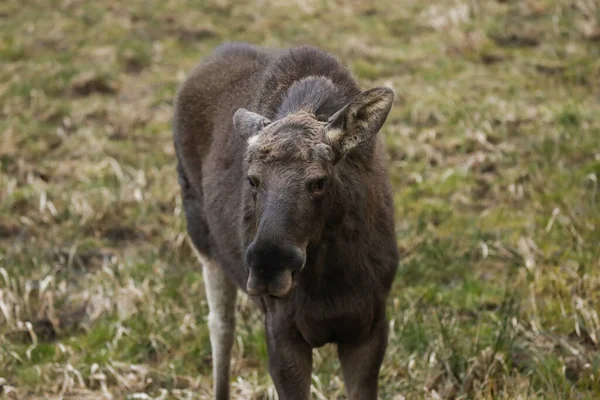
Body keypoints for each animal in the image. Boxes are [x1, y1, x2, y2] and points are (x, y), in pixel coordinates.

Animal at [172, 42, 398, 398]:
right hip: (201, 236)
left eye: (319, 181)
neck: (331, 279)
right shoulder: (282, 331)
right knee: (220, 324)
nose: (269, 264)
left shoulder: (370, 326)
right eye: (252, 179)